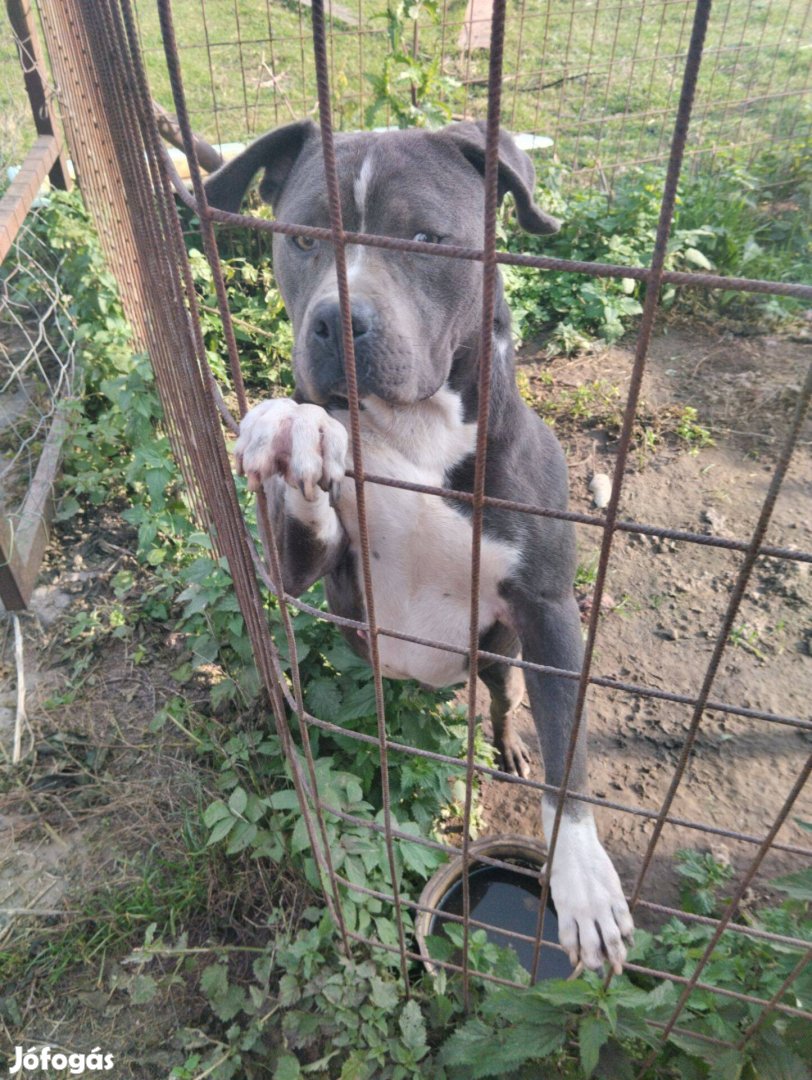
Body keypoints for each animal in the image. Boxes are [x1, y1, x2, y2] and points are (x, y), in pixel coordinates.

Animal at [204, 122, 634, 976]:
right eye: (304, 237)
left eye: (427, 239)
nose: (336, 321)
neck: (416, 432)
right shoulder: (310, 571)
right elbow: (301, 514)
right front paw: (295, 424)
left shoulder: (547, 608)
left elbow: (569, 744)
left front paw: (584, 881)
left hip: (497, 649)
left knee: (503, 699)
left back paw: (507, 745)